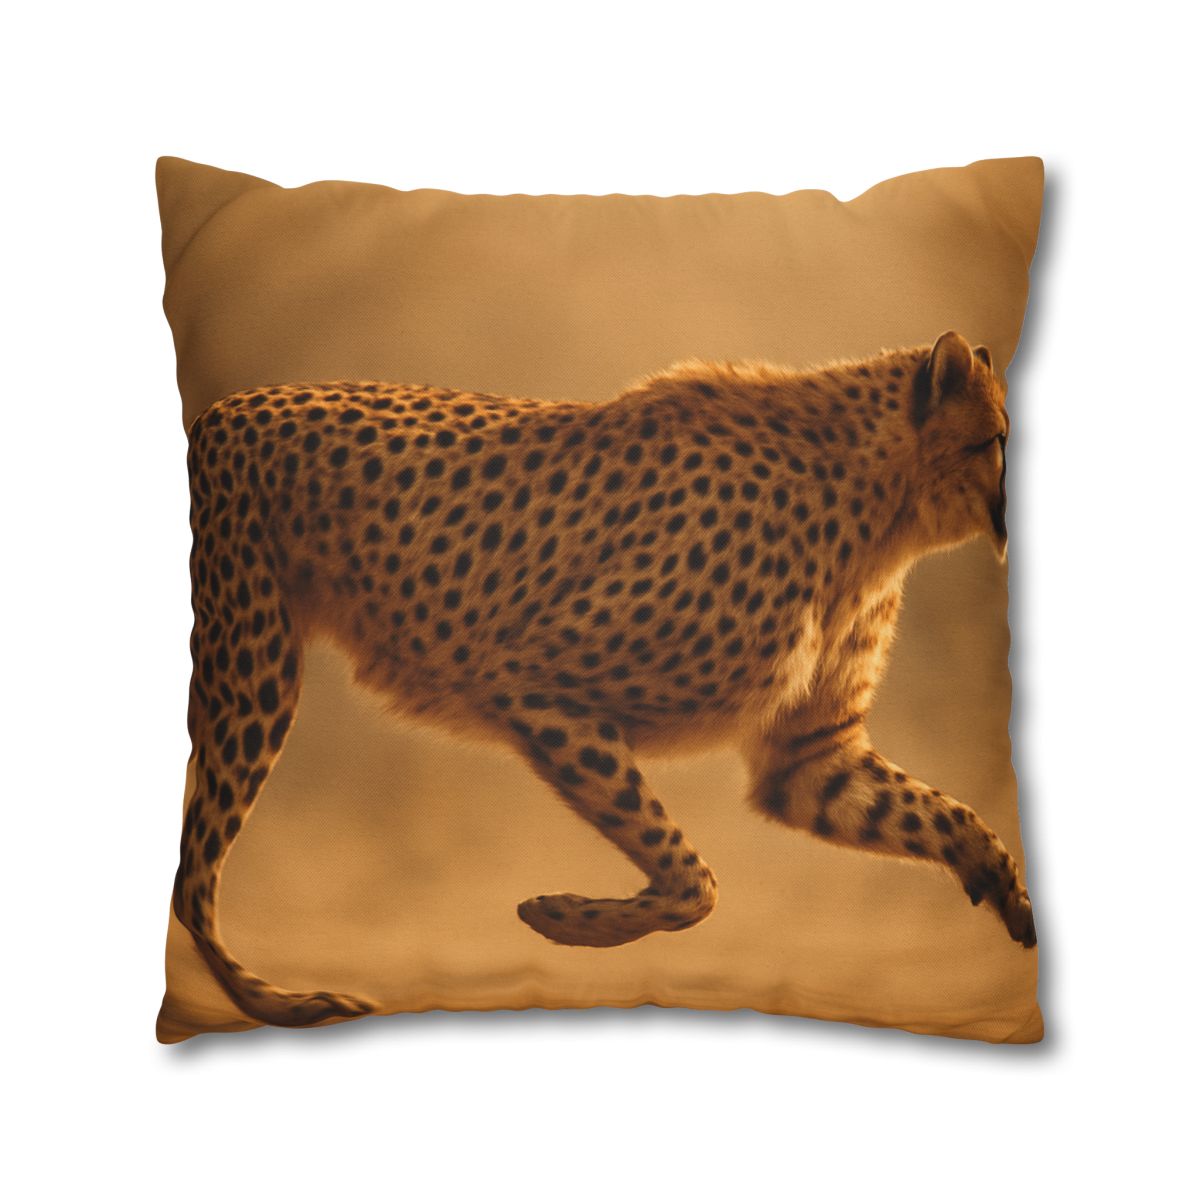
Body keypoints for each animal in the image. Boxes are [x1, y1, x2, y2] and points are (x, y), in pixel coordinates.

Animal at [175, 329, 1034, 1028]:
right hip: (255, 666)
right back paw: (284, 1005)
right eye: (997, 438)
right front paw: (559, 918)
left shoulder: (811, 757)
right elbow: (694, 880)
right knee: (190, 875)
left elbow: (940, 813)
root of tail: (225, 407)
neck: (882, 509)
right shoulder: (537, 681)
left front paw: (1006, 888)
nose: (1012, 511)